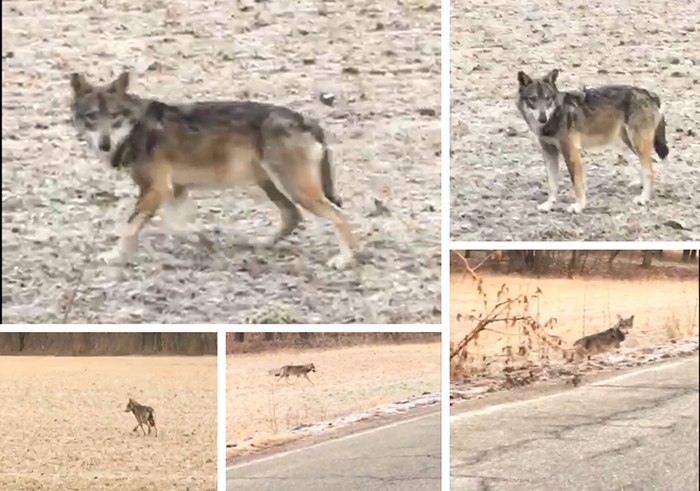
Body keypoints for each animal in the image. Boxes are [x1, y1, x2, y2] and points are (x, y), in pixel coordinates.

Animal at [69, 71, 359, 269]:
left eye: (113, 117)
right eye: (92, 117)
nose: (105, 145)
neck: (135, 127)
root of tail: (306, 120)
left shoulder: (156, 190)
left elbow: (130, 228)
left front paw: (114, 256)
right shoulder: (174, 191)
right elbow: (178, 225)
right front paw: (201, 237)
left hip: (295, 189)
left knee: (339, 216)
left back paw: (345, 258)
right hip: (269, 185)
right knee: (292, 217)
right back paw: (260, 243)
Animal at [517, 69, 668, 213]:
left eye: (547, 98)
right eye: (533, 99)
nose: (542, 118)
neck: (555, 115)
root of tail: (649, 94)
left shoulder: (571, 153)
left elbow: (577, 184)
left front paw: (578, 207)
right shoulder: (549, 153)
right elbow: (552, 184)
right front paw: (548, 205)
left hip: (638, 144)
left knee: (650, 171)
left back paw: (644, 198)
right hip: (632, 143)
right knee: (646, 167)